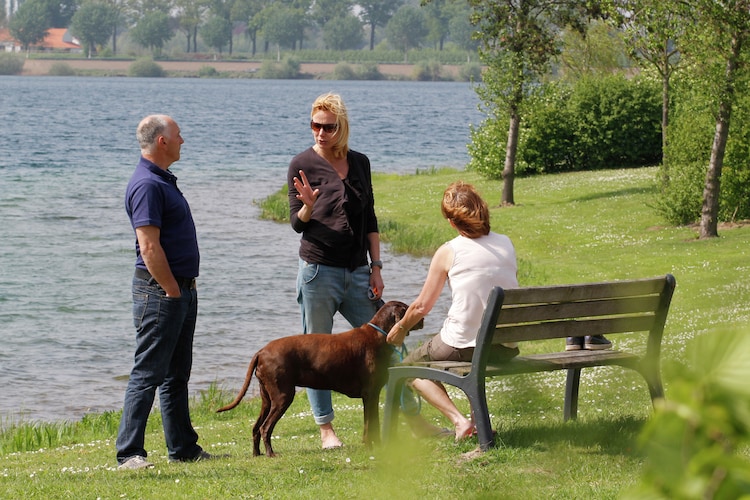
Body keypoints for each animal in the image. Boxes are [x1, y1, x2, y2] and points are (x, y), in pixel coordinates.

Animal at [217, 300, 424, 458]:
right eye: (409, 310)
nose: (423, 319)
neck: (378, 336)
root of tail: (261, 351)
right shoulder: (370, 394)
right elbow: (370, 426)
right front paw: (372, 447)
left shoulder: (371, 396)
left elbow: (374, 425)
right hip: (283, 396)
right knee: (265, 427)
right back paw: (270, 454)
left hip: (267, 398)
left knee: (255, 427)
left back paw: (257, 454)